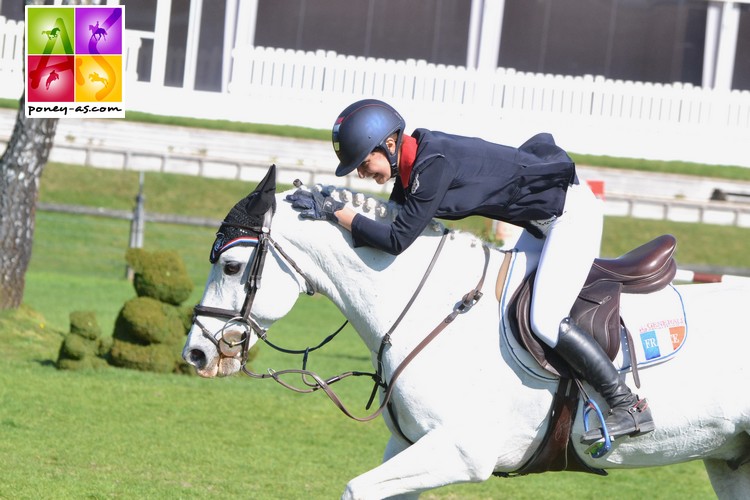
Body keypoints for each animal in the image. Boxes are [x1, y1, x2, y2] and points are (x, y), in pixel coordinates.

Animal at [185, 166, 750, 498]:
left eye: (232, 266)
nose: (195, 354)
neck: (429, 308)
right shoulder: (411, 448)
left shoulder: (461, 450)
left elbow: (355, 489)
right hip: (730, 460)